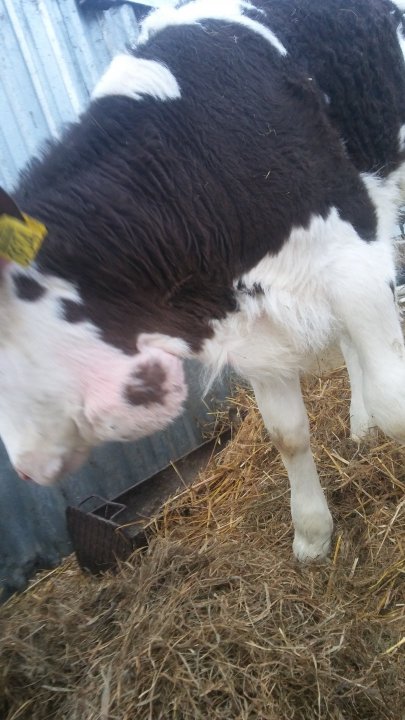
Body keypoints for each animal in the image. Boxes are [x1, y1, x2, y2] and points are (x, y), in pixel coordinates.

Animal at [1, 0, 405, 562]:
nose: (23, 468)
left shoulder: (354, 260)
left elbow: (397, 404)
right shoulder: (250, 317)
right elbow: (286, 433)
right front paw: (312, 534)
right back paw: (359, 423)